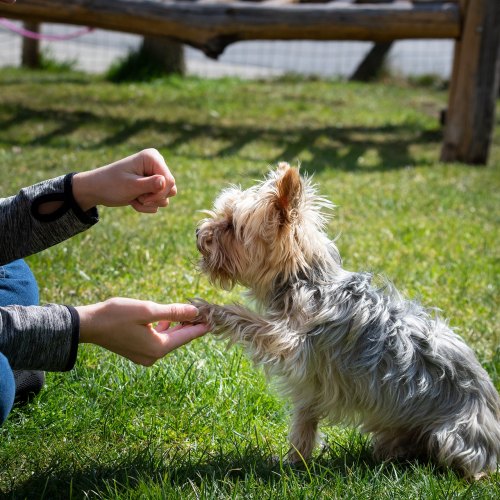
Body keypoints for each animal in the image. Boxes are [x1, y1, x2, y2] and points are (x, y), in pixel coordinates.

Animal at [193, 162, 500, 478]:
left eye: (231, 225)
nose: (197, 232)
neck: (305, 279)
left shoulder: (290, 340)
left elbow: (248, 320)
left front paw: (209, 310)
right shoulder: (312, 381)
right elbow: (305, 421)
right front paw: (295, 462)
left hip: (452, 436)